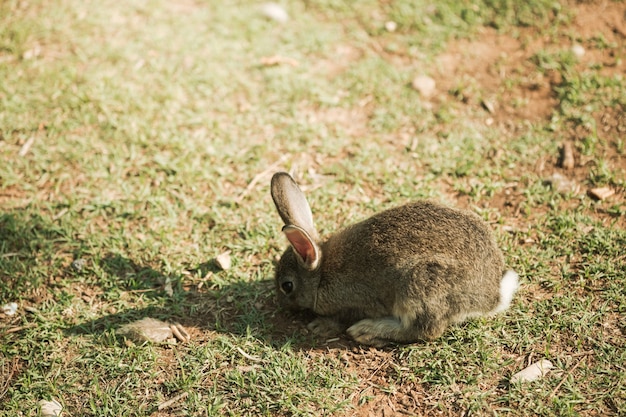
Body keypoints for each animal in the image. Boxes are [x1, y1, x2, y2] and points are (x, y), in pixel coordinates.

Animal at [268, 171, 516, 346]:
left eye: (287, 286)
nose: (282, 305)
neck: (320, 273)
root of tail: (491, 296)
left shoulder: (353, 301)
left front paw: (320, 326)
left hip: (421, 285)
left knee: (424, 330)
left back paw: (366, 331)